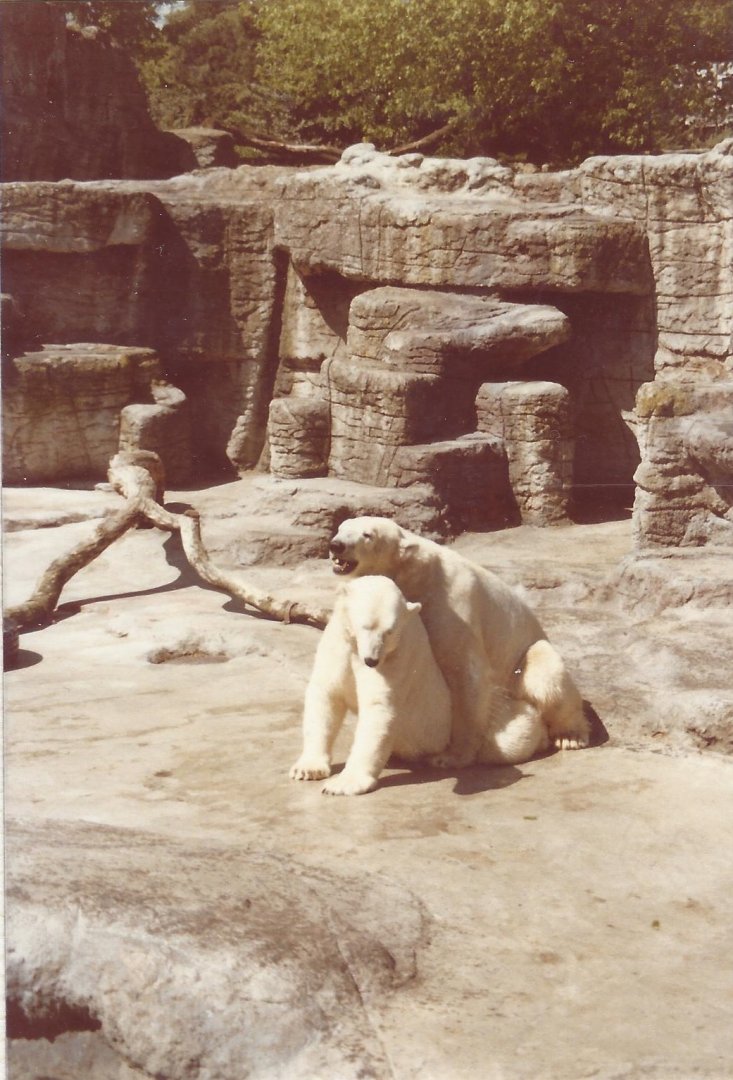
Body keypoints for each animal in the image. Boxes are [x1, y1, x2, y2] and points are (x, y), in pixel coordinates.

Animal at [290, 575, 452, 795]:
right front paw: (308, 769)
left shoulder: (396, 657)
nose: (371, 660)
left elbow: (378, 707)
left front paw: (342, 784)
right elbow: (327, 694)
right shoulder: (339, 644)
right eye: (365, 626)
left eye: (390, 631)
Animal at [327, 516, 589, 769]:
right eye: (341, 527)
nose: (336, 545)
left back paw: (571, 736)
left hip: (521, 670)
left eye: (368, 535)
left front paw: (450, 757)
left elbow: (466, 674)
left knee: (545, 676)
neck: (417, 574)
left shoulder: (451, 607)